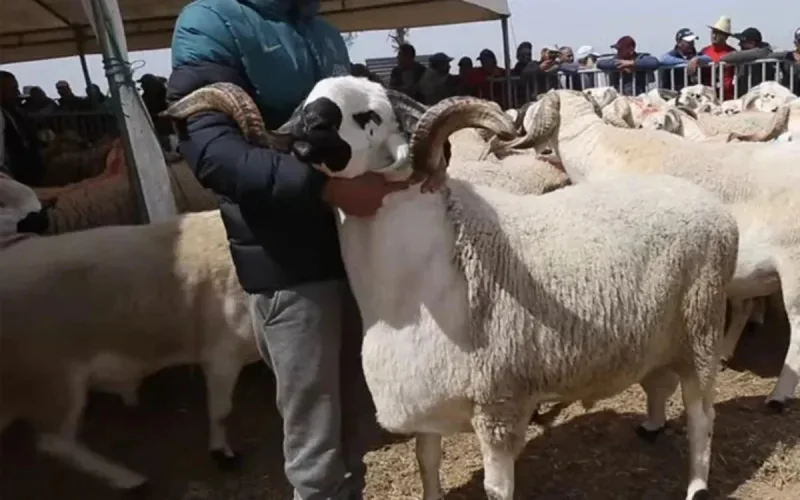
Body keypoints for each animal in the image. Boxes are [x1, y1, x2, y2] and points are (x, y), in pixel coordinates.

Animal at [0, 206, 258, 490]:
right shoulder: (222, 352)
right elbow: (221, 411)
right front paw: (223, 455)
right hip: (50, 380)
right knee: (56, 443)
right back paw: (131, 481)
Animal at [168, 77, 738, 500]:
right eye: (309, 100)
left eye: (369, 115)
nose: (310, 130)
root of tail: (711, 207)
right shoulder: (424, 392)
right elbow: (426, 463)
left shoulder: (498, 403)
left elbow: (496, 489)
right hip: (659, 333)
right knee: (660, 382)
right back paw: (652, 427)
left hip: (702, 330)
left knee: (703, 416)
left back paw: (697, 484)